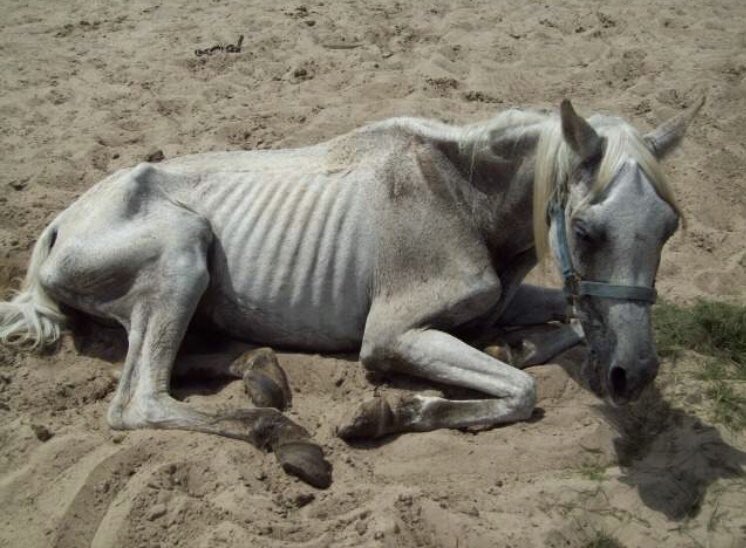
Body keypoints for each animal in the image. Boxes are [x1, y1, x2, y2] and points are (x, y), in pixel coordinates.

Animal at [0, 98, 702, 488]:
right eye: (585, 231)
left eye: (669, 227)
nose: (634, 375)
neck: (462, 196)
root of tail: (60, 224)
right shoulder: (391, 335)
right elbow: (523, 392)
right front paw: (386, 413)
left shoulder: (510, 300)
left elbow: (565, 327)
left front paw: (514, 347)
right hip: (182, 253)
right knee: (141, 401)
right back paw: (283, 434)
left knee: (192, 355)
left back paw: (263, 375)